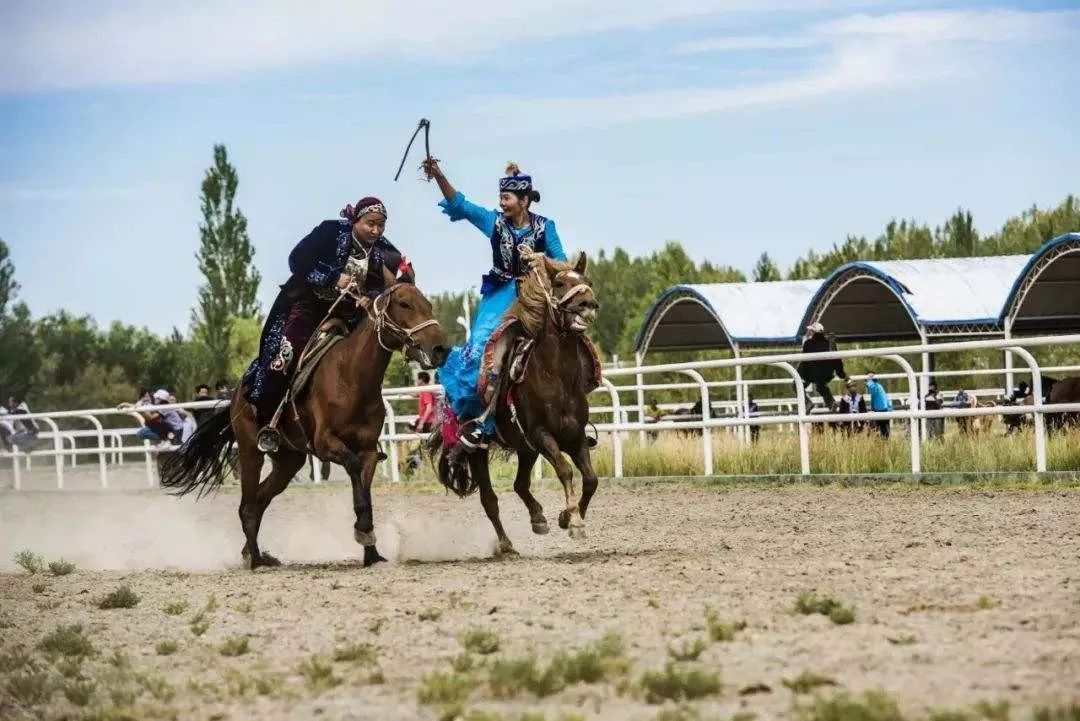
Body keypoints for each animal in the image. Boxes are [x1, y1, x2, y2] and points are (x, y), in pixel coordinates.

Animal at [158, 269, 447, 569]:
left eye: (428, 304)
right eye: (404, 304)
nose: (440, 348)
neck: (351, 377)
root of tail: (238, 393)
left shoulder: (368, 451)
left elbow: (364, 490)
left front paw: (371, 551)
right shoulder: (325, 444)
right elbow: (353, 469)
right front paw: (364, 532)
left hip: (288, 460)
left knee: (259, 500)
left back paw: (253, 553)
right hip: (250, 452)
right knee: (247, 505)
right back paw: (256, 560)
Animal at [427, 250, 600, 556]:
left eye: (587, 281)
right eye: (558, 284)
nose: (587, 304)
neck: (557, 377)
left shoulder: (575, 436)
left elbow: (590, 479)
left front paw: (567, 517)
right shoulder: (542, 435)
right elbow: (565, 470)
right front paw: (574, 521)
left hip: (526, 449)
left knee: (520, 485)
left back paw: (539, 519)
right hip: (480, 450)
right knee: (489, 499)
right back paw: (506, 545)